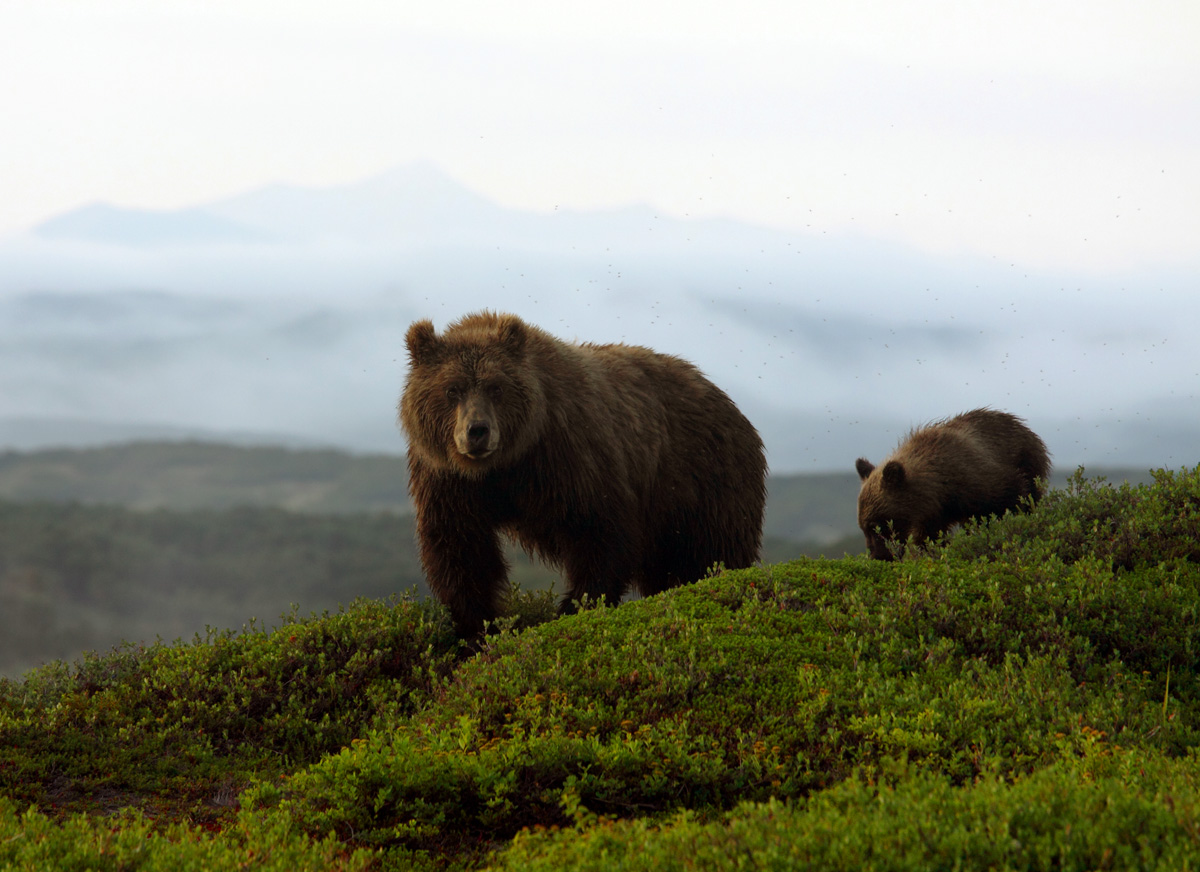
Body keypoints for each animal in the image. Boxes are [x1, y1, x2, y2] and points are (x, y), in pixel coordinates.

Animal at [398, 311, 763, 633]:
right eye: (452, 389)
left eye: (496, 387)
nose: (477, 431)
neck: (505, 464)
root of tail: (730, 403)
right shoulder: (448, 479)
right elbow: (459, 544)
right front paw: (478, 623)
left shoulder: (568, 455)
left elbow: (598, 530)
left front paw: (573, 607)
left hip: (705, 481)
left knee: (715, 551)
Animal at [854, 407, 1051, 558]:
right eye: (863, 527)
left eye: (876, 526)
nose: (878, 556)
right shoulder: (933, 515)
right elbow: (929, 539)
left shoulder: (980, 479)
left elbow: (1012, 498)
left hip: (1029, 460)